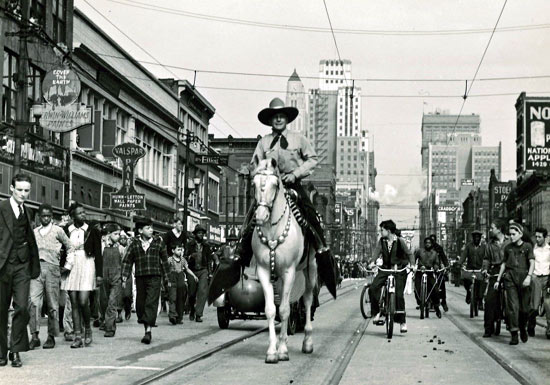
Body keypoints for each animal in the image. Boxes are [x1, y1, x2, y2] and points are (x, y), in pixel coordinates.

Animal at [251, 157, 316, 364]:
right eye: (254, 183)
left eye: (275, 184)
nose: (261, 216)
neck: (273, 229)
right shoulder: (264, 271)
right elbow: (272, 309)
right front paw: (273, 351)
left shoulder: (289, 271)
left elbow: (286, 310)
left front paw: (283, 350)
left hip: (310, 270)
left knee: (307, 300)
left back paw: (307, 342)